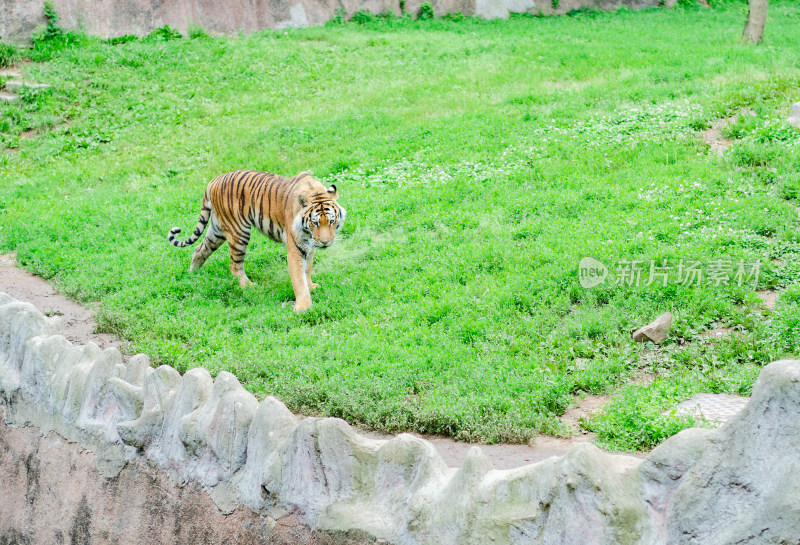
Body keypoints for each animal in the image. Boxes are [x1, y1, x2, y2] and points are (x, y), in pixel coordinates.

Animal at [167, 170, 346, 310]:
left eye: (331, 221)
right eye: (315, 223)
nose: (325, 242)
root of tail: (213, 181)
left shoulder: (309, 246)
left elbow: (307, 269)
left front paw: (311, 287)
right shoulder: (296, 248)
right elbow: (298, 278)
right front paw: (303, 307)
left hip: (217, 231)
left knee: (200, 249)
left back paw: (193, 275)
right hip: (239, 232)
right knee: (234, 265)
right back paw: (249, 287)